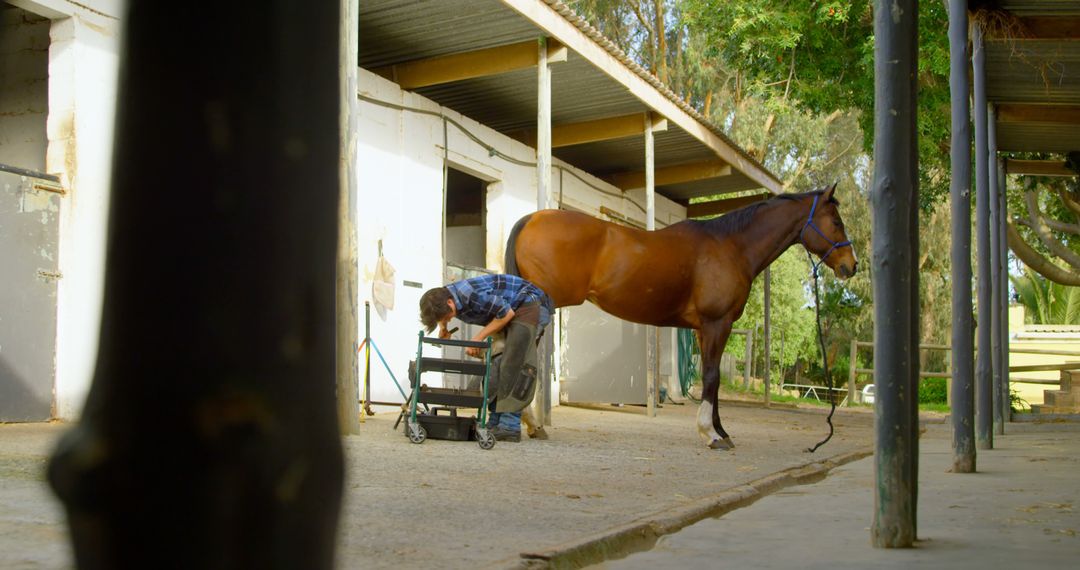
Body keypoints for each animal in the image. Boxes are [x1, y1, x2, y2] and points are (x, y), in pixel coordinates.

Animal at [501, 184, 855, 446]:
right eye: (836, 222)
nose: (850, 266)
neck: (731, 247)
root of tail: (531, 219)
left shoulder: (703, 330)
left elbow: (711, 376)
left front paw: (721, 431)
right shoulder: (717, 324)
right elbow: (711, 377)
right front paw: (711, 434)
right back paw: (531, 424)